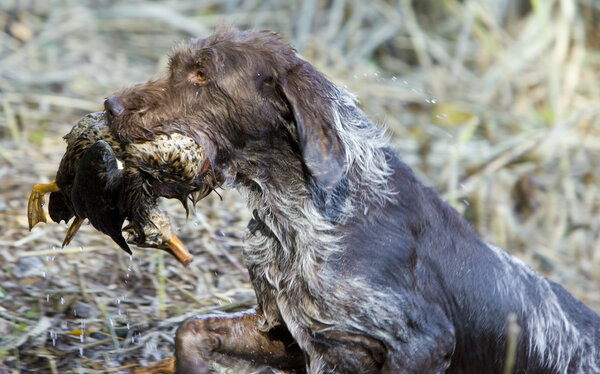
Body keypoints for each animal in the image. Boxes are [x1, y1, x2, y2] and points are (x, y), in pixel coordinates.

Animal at [104, 28, 600, 374]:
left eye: (202, 76)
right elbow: (191, 329)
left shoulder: (422, 343)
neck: (296, 214)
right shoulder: (287, 332)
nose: (110, 106)